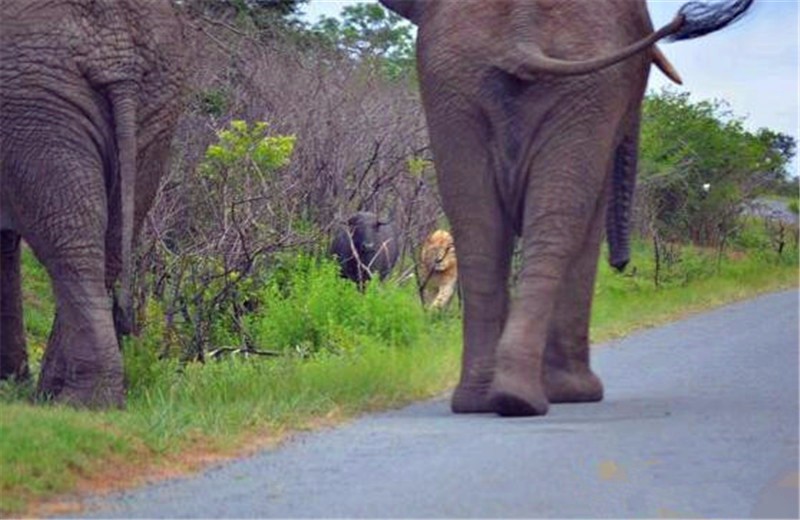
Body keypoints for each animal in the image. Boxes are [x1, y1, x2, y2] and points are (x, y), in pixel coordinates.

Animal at [0, 0, 188, 406]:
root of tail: (116, 53)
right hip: (158, 104)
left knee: (73, 245)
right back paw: (61, 398)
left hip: (35, 103)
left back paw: (76, 403)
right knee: (109, 244)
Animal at [378, 0, 752, 416]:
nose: (622, 264)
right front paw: (574, 394)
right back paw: (538, 397)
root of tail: (521, 31)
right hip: (580, 86)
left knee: (480, 231)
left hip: (459, 78)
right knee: (557, 226)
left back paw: (486, 400)